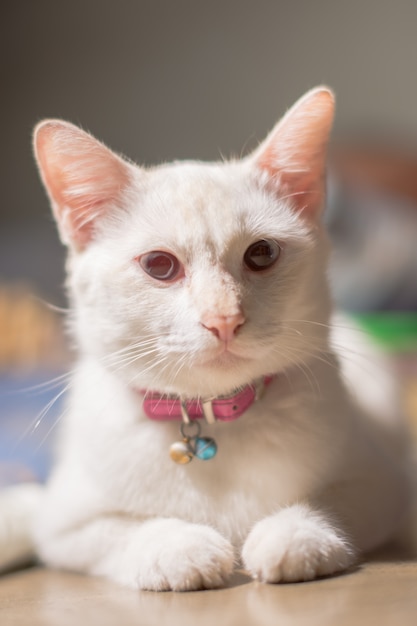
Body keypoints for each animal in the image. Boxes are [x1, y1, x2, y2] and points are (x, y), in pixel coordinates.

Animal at [26, 88, 410, 588]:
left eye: (262, 253)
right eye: (159, 265)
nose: (223, 319)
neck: (211, 422)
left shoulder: (382, 485)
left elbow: (330, 502)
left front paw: (293, 536)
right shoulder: (62, 522)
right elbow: (123, 530)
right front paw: (180, 549)